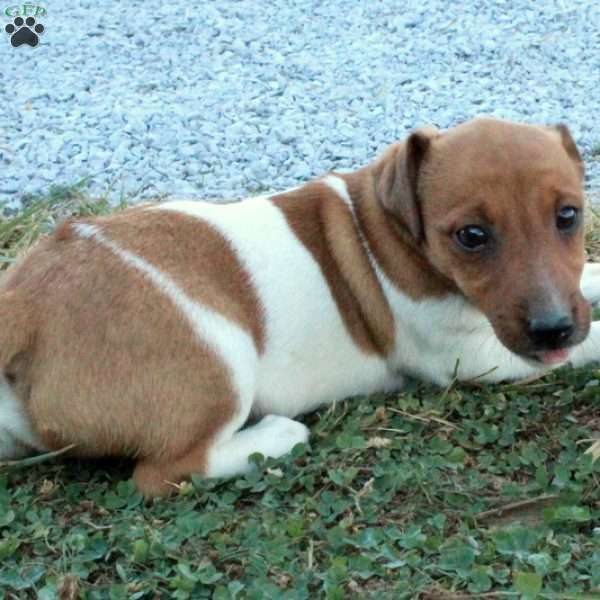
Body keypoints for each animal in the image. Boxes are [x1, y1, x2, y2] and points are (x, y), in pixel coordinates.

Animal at [1, 115, 600, 494]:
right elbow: (591, 339)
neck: (391, 228)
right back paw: (276, 437)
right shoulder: (473, 357)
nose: (553, 329)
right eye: (471, 236)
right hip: (219, 362)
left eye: (568, 216)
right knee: (166, 472)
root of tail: (23, 303)